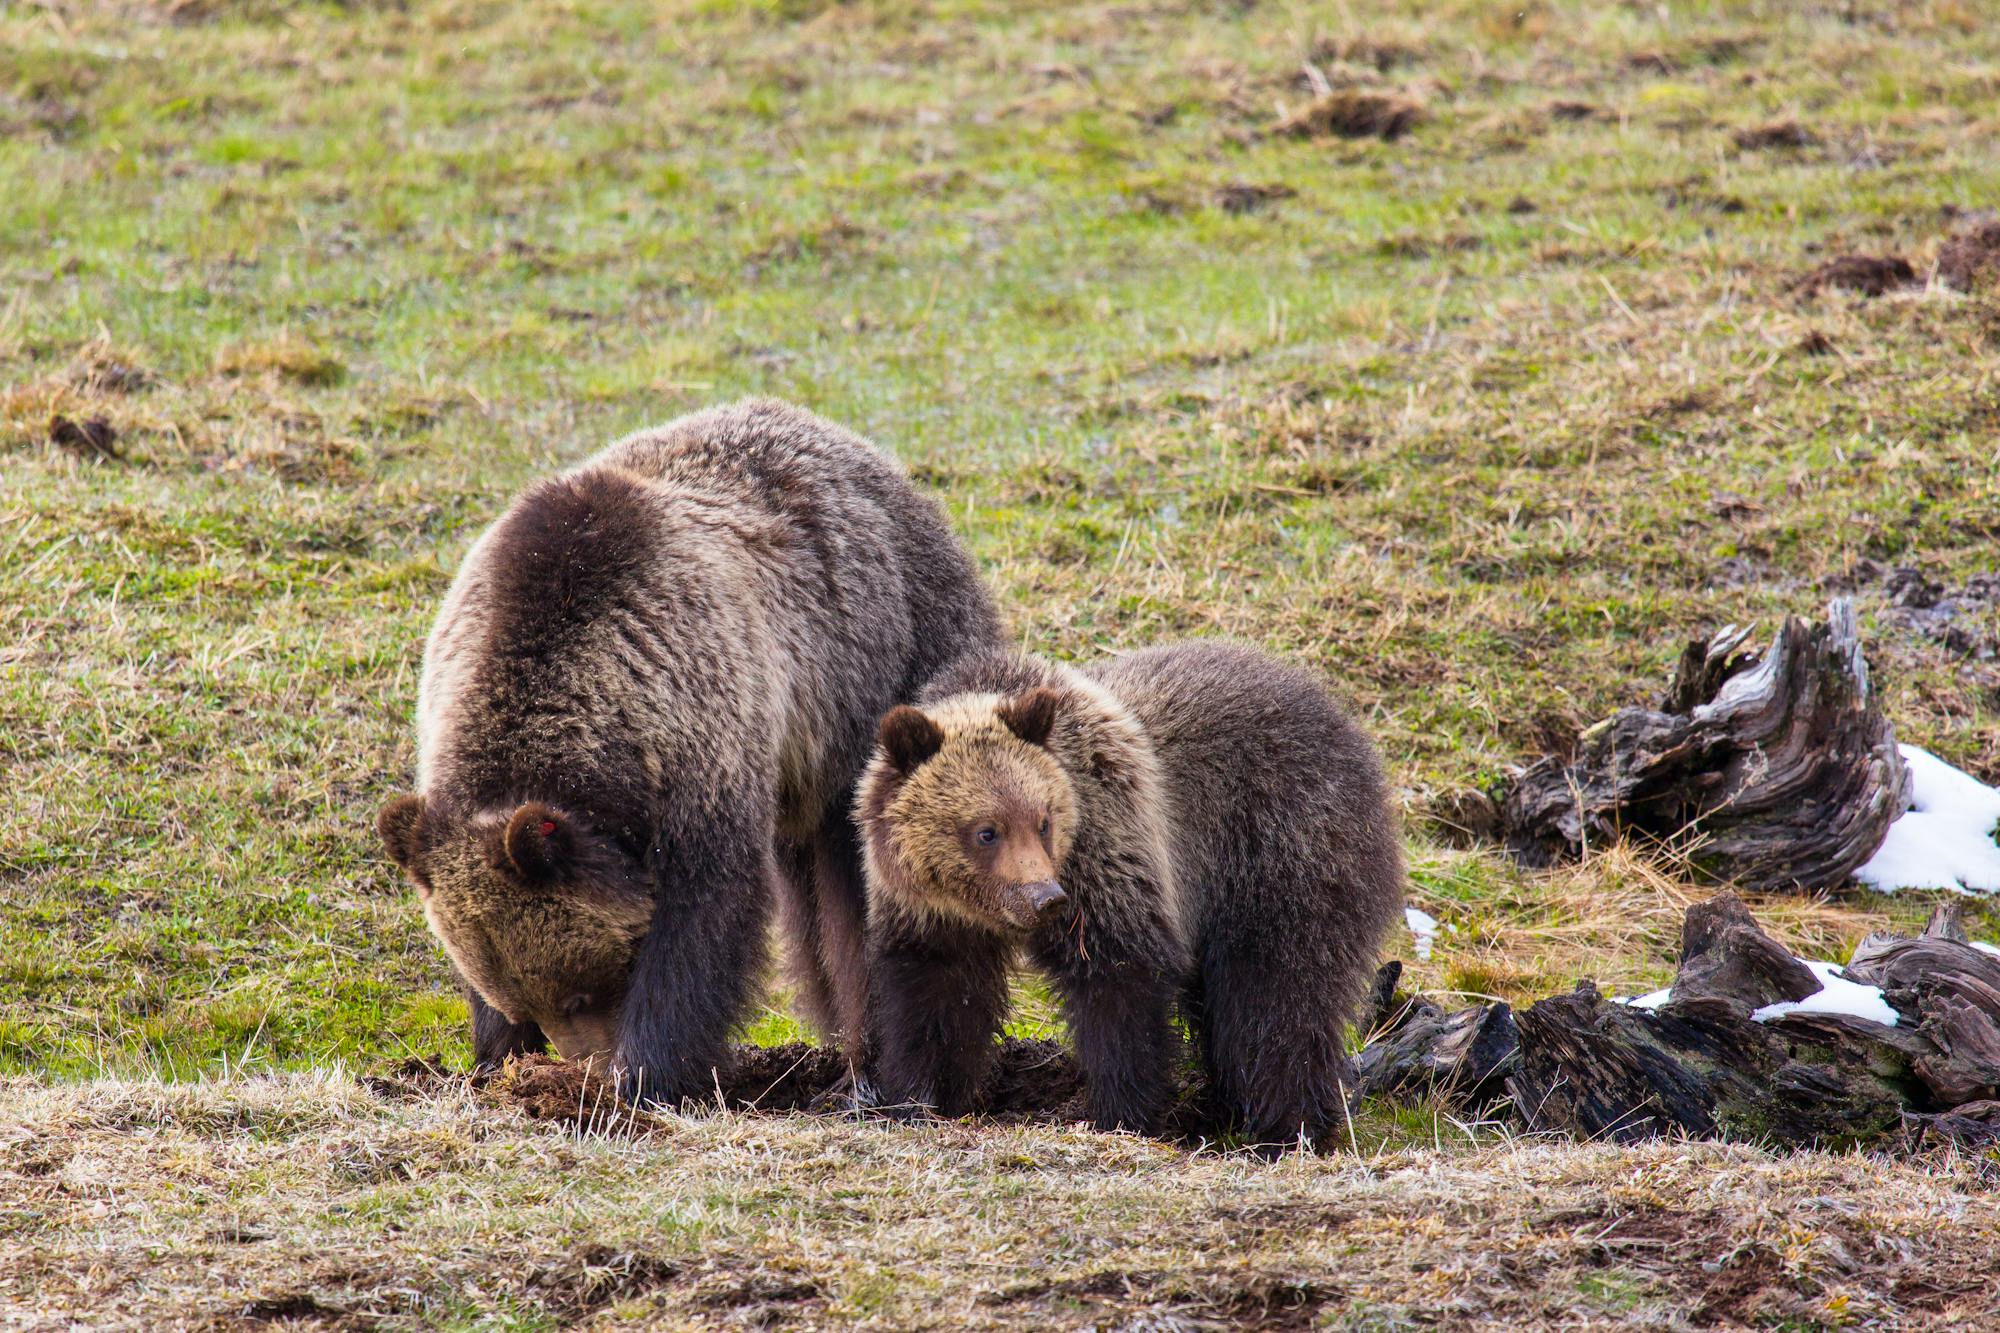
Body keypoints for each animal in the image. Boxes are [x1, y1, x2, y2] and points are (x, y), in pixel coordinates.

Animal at [376, 394, 1000, 1096]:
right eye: (530, 1001)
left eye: (580, 992)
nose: (585, 1064)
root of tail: (853, 444)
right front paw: (497, 1060)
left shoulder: (698, 724)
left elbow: (702, 917)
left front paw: (645, 1072)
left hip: (889, 667)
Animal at [860, 640, 1408, 1144]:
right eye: (986, 831)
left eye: (1043, 821)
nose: (1045, 898)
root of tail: (1344, 722)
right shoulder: (930, 914)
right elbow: (938, 1001)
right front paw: (921, 1099)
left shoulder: (1109, 856)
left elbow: (1120, 987)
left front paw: (1121, 1115)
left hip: (1282, 851)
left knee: (1278, 994)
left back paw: (1288, 1128)